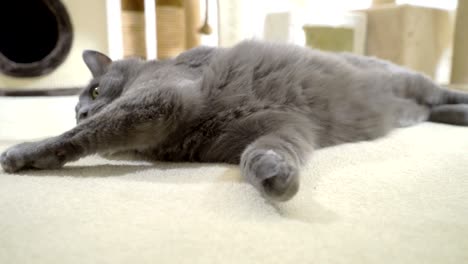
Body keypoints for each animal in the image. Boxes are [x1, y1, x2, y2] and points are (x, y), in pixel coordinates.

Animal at [0, 41, 468, 201]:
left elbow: (86, 134)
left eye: (95, 93)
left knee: (441, 94)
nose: (83, 108)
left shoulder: (160, 97)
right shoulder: (281, 125)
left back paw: (461, 103)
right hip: (413, 105)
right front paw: (275, 176)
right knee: (434, 109)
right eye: (81, 102)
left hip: (411, 80)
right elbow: (266, 150)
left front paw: (22, 152)